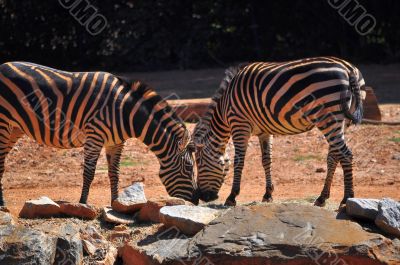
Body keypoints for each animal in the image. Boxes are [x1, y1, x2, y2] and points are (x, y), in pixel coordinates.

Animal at [0, 61, 198, 204]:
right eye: (189, 168)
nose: (196, 201)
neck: (125, 111)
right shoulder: (94, 136)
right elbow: (89, 172)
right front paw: (82, 204)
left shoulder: (116, 142)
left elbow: (114, 173)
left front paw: (115, 204)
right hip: (3, 122)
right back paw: (3, 204)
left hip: (14, 129)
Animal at [194, 56, 366, 205]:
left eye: (200, 163)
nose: (202, 197)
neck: (225, 108)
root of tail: (349, 69)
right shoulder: (264, 130)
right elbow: (266, 160)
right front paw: (267, 194)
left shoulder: (239, 124)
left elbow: (239, 161)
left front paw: (232, 197)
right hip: (341, 121)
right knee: (334, 157)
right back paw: (322, 197)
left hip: (328, 117)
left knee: (345, 154)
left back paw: (347, 198)